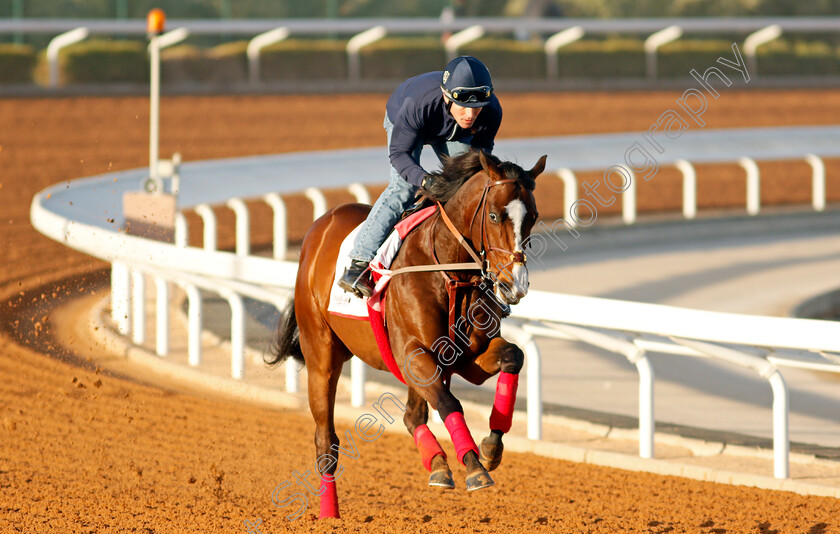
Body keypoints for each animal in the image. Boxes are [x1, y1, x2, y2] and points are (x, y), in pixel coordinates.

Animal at [266, 150, 548, 520]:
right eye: (494, 214)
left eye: (533, 216)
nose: (516, 284)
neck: (448, 269)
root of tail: (322, 224)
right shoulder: (415, 355)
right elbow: (449, 402)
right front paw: (474, 467)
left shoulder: (466, 357)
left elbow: (513, 356)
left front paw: (491, 446)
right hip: (322, 354)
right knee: (326, 440)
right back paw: (330, 514)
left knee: (413, 415)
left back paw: (437, 463)